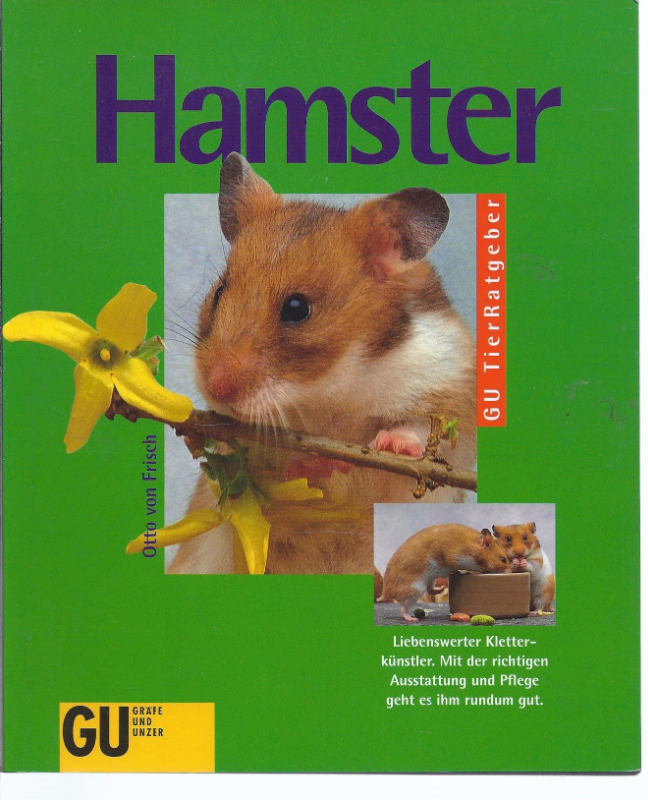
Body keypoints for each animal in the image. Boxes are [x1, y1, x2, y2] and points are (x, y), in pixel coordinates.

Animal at [169, 153, 476, 575]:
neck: (332, 388)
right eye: (219, 292)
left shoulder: (447, 384)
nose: (215, 388)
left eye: (298, 308)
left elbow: (420, 430)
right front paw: (314, 463)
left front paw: (390, 446)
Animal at [378, 524, 510, 621]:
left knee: (430, 589)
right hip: (414, 590)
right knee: (403, 609)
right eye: (503, 559)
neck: (472, 547)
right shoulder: (451, 560)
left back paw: (441, 589)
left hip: (431, 579)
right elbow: (456, 569)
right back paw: (412, 619)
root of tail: (385, 593)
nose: (509, 571)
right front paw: (469, 572)